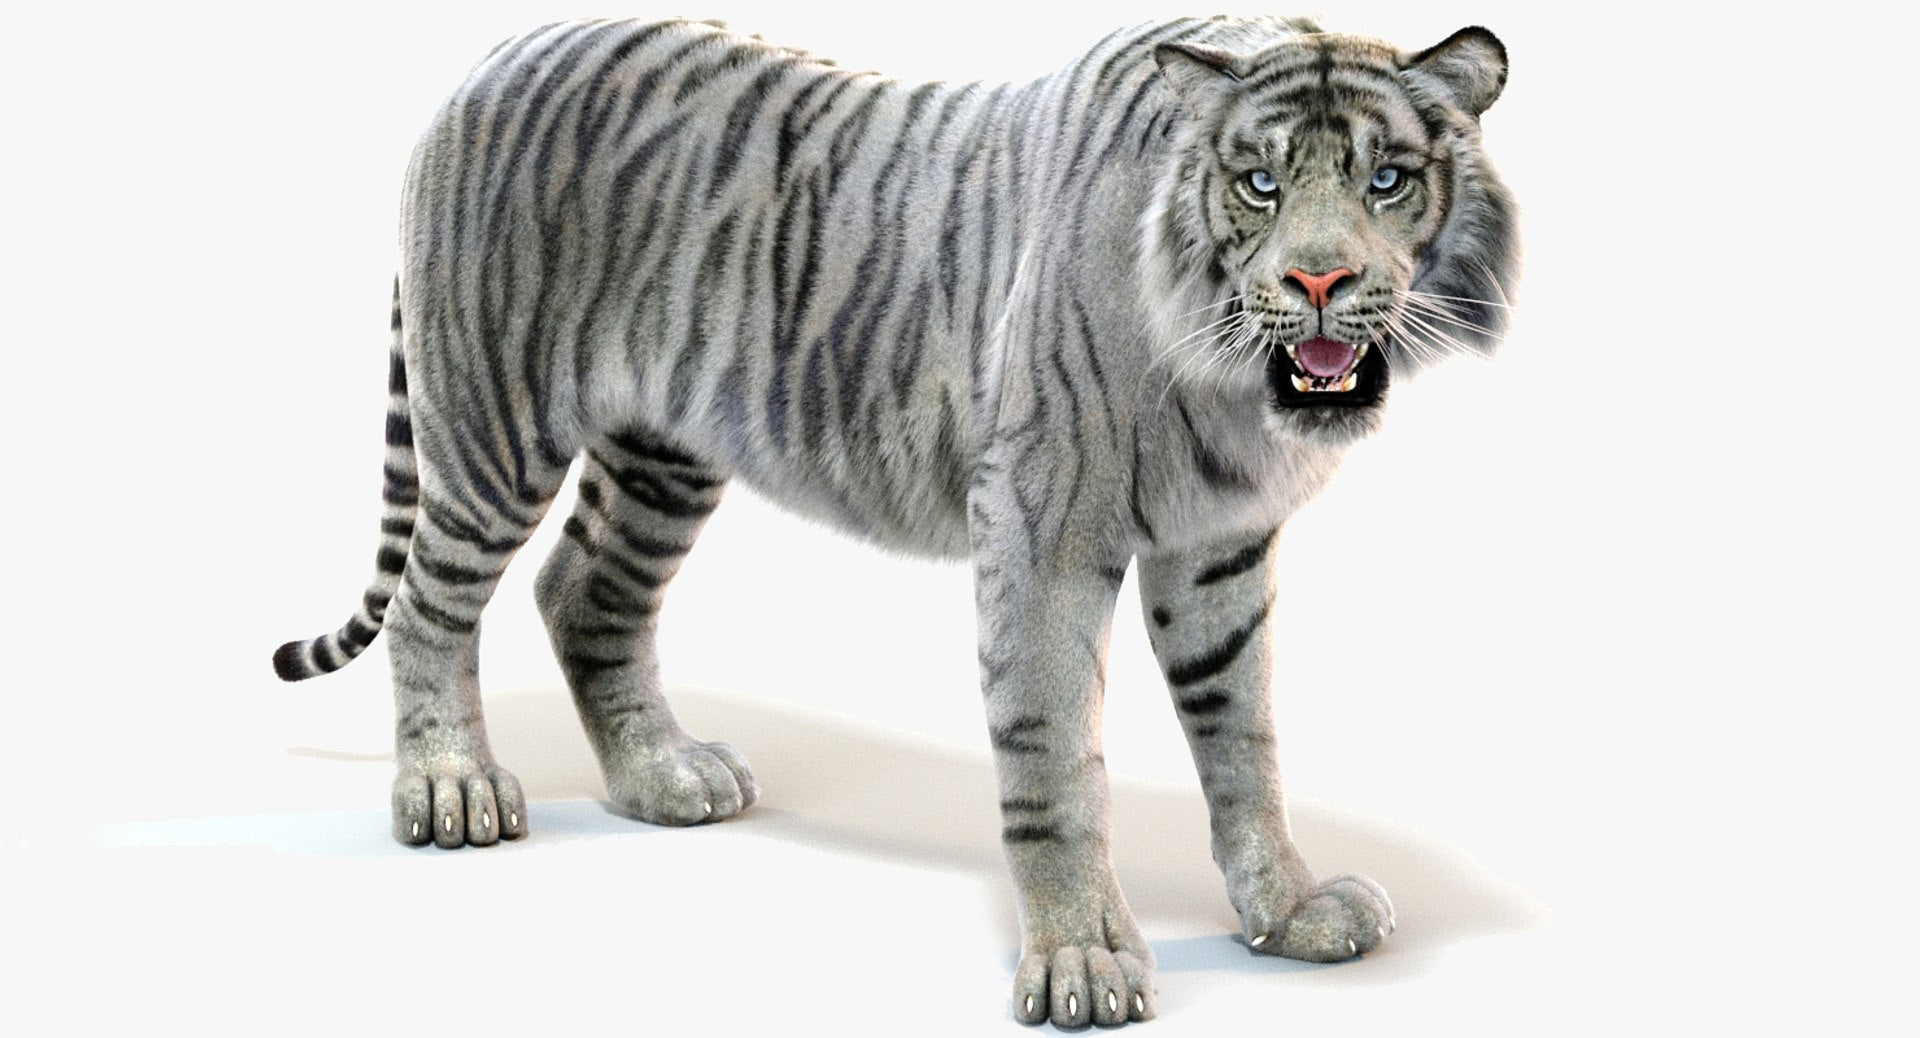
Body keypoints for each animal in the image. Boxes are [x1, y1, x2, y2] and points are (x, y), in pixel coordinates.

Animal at [273, 14, 1517, 1027]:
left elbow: (1243, 737)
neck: (1225, 375)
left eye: (1388, 178)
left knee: (583, 591)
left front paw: (1291, 910)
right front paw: (1081, 965)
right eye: (1259, 183)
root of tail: (494, 53)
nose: (1319, 284)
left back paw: (664, 778)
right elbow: (1055, 757)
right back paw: (451, 791)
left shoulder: (1219, 546)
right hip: (495, 422)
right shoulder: (1041, 525)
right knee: (430, 607)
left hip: (662, 453)